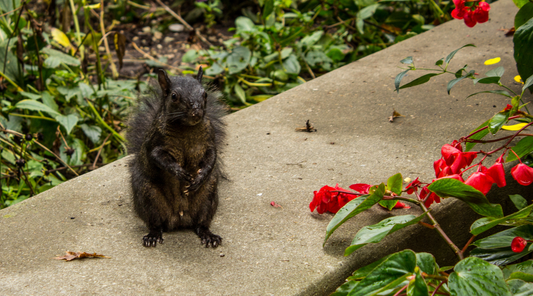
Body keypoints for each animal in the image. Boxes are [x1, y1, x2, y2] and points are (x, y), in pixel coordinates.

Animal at [128, 67, 225, 247]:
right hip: (149, 196)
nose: (196, 111)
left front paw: (199, 177)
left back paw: (208, 235)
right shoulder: (156, 143)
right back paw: (153, 236)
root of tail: (179, 218)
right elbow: (158, 157)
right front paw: (180, 173)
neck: (186, 129)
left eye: (205, 94)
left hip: (208, 197)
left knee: (201, 223)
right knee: (156, 223)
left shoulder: (210, 142)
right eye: (174, 96)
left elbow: (212, 157)